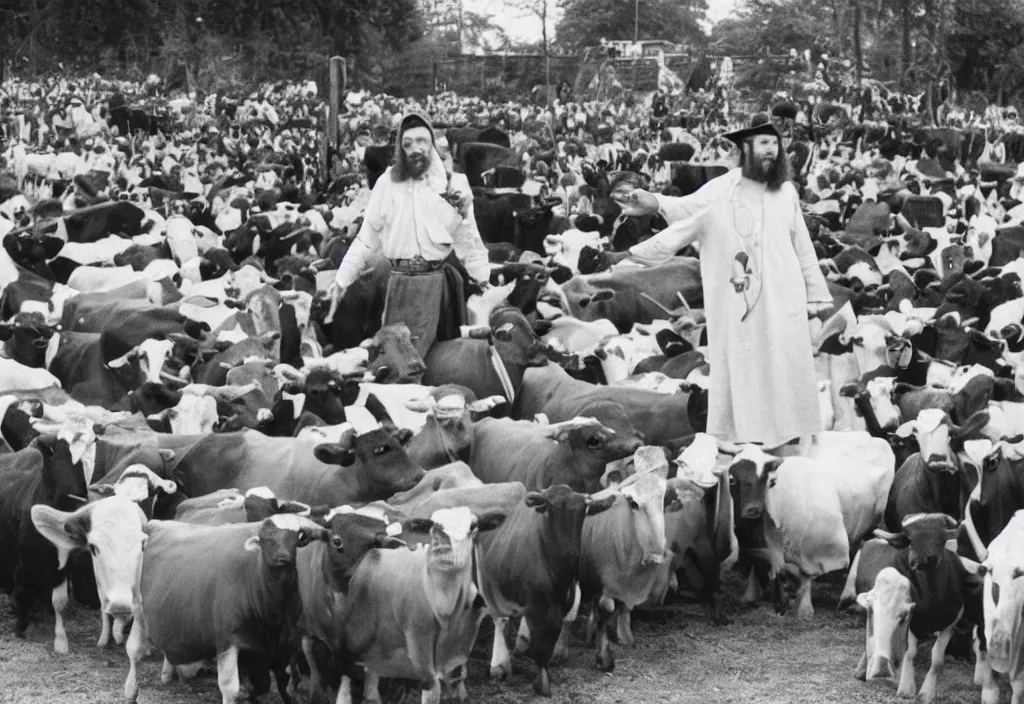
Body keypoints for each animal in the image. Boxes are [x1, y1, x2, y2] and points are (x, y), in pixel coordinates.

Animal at [122, 511, 331, 704]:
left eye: (295, 537)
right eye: (265, 539)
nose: (282, 557)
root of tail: (155, 524)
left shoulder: (286, 646)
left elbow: (282, 684)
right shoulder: (227, 640)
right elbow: (230, 688)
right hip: (139, 612)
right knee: (133, 652)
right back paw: (130, 691)